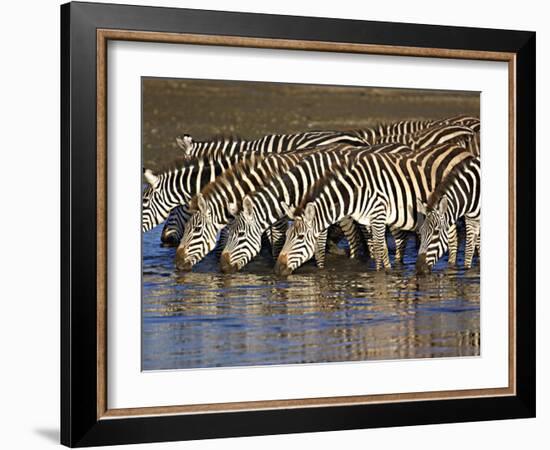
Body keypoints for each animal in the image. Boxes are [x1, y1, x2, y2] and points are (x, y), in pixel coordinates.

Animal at [276, 142, 474, 274]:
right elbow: (378, 248)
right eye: (287, 235)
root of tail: (460, 148)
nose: (278, 268)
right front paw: (382, 270)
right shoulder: (368, 219)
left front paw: (383, 274)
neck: (355, 193)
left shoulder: (378, 214)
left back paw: (452, 268)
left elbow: (380, 248)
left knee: (455, 238)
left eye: (300, 237)